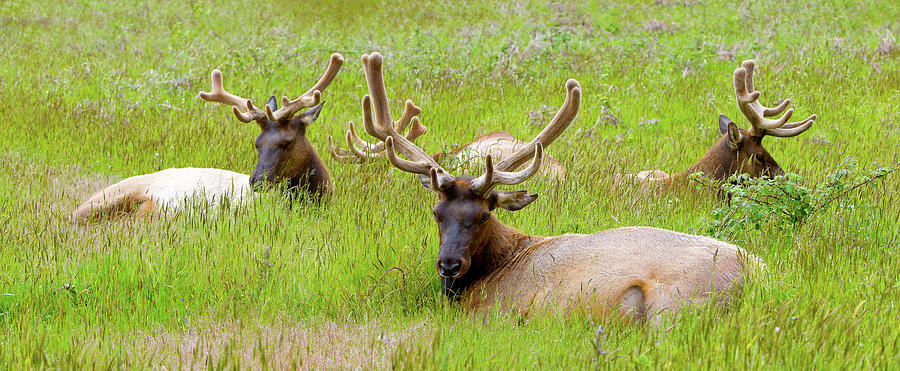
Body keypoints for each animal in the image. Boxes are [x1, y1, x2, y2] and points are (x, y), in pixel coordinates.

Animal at [352, 52, 760, 322]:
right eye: (437, 213)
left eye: (484, 215)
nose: (449, 264)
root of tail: (762, 277)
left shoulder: (498, 311)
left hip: (673, 304)